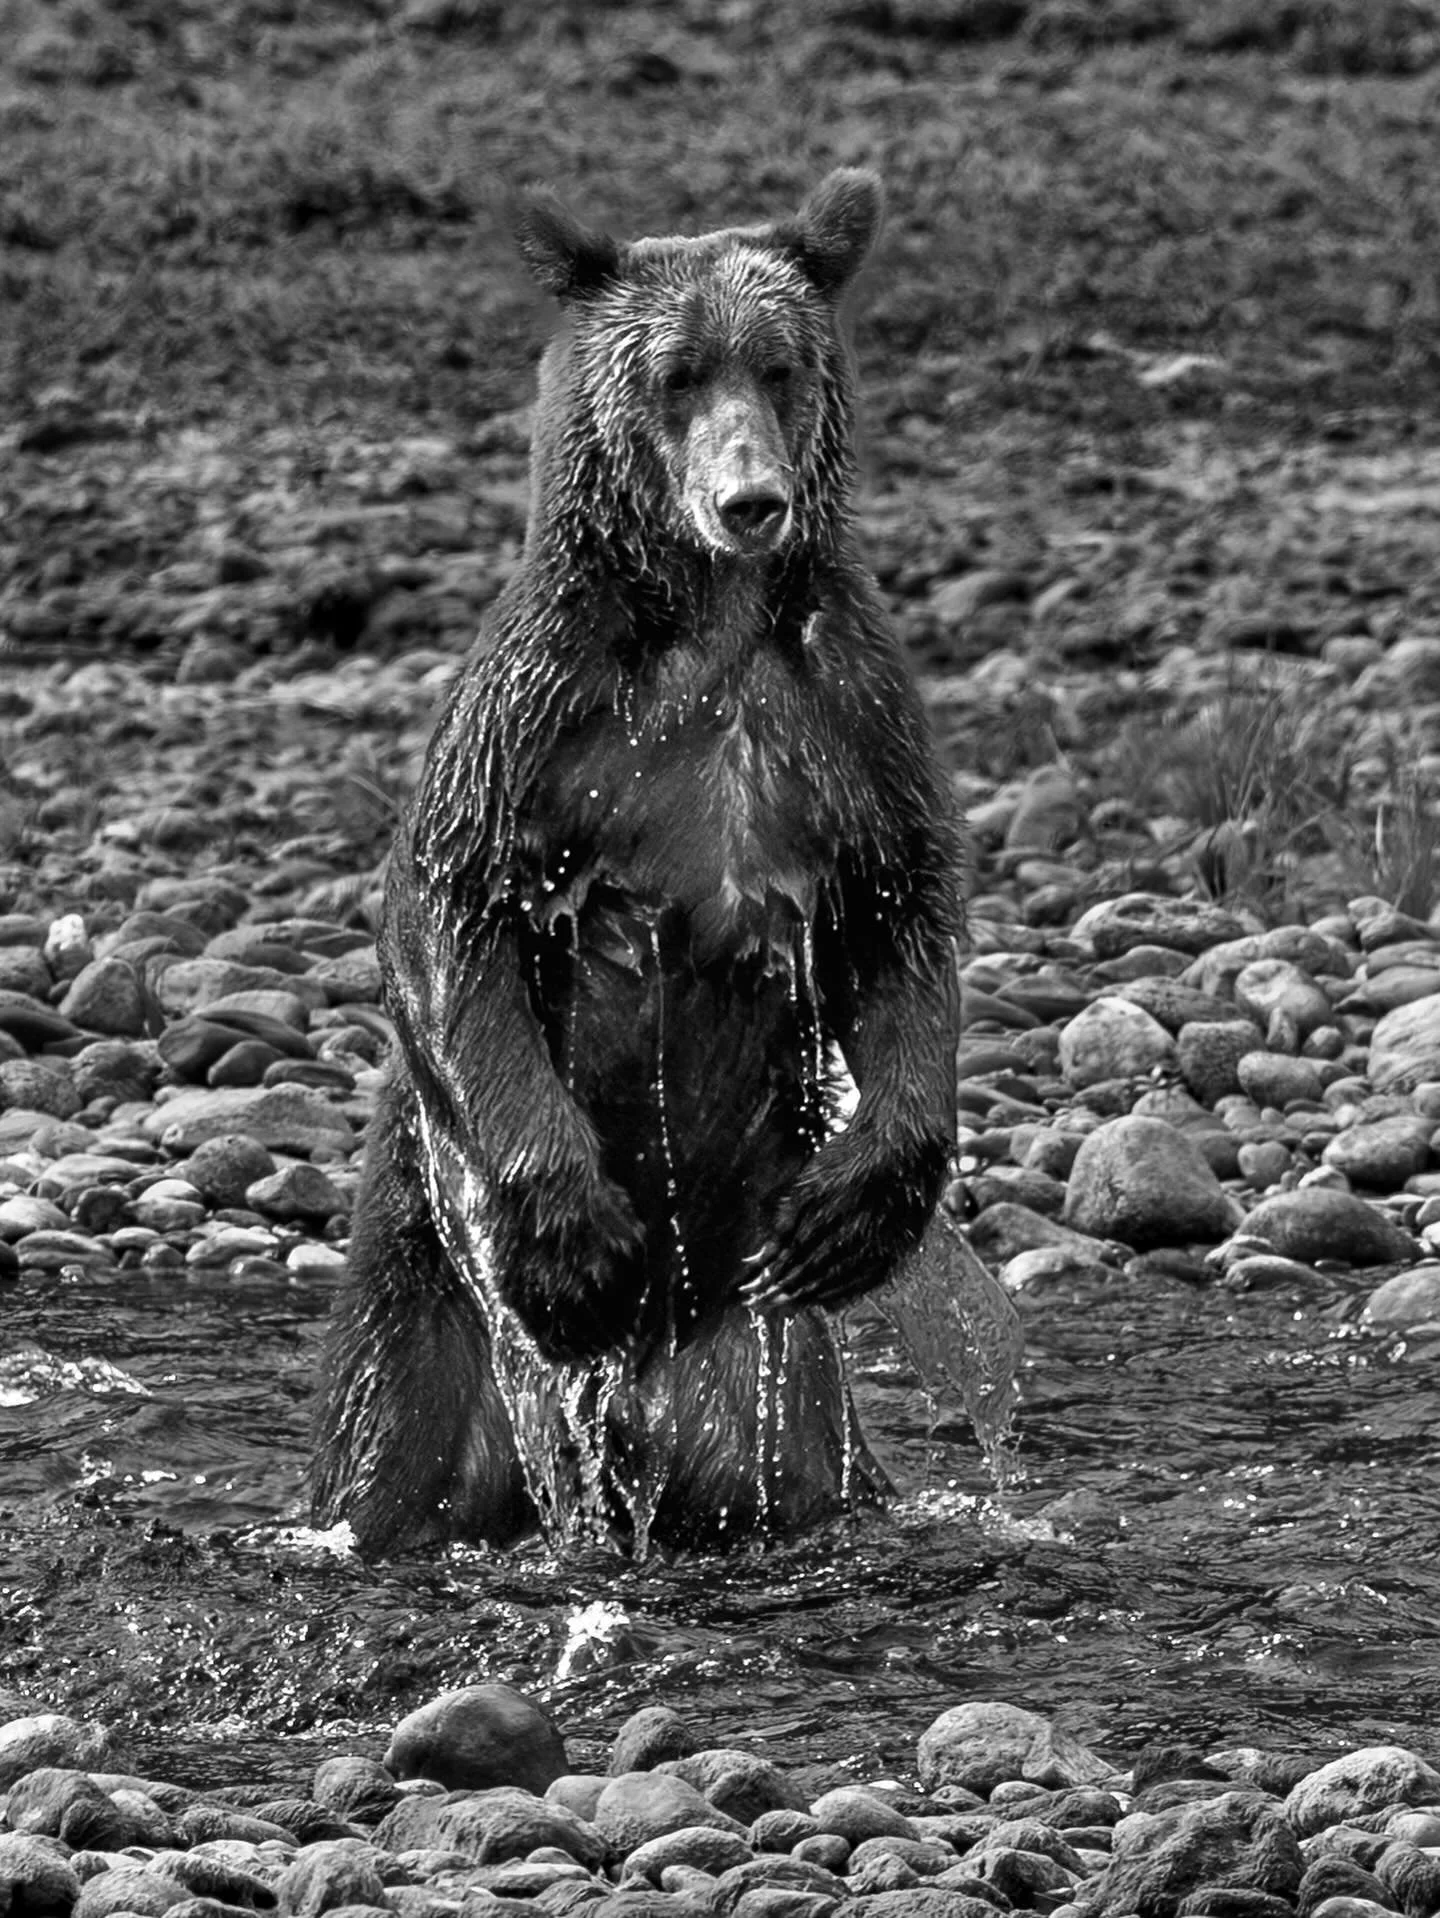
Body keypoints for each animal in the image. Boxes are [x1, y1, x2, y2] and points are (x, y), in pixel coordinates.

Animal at [311, 168, 966, 1555]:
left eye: (779, 365)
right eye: (675, 373)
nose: (751, 500)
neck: (711, 623)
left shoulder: (849, 714)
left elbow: (904, 913)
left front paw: (859, 1209)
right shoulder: (541, 710)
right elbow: (449, 907)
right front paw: (576, 1240)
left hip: (758, 1353)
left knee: (791, 1452)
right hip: (426, 1295)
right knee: (383, 1445)